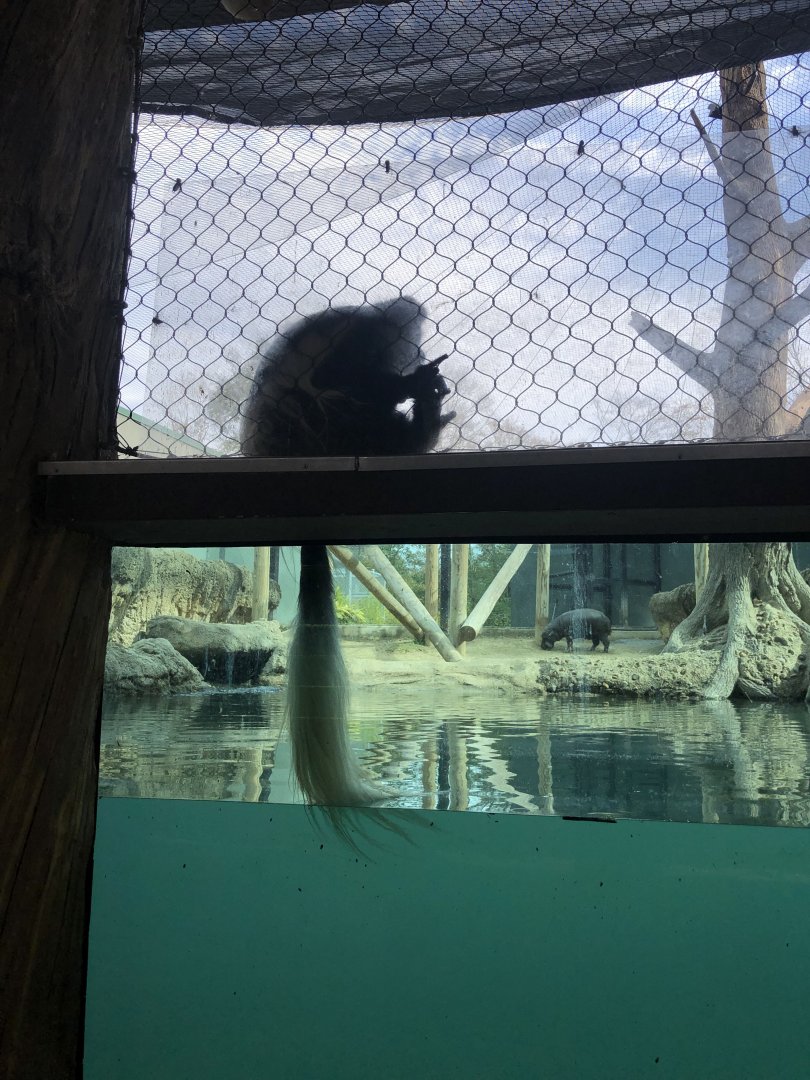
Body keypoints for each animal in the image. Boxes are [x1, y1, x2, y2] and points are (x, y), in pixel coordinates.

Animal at [241, 298, 455, 807]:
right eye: (410, 340)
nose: (416, 354)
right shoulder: (364, 338)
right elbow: (343, 374)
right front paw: (413, 383)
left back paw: (426, 422)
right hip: (319, 426)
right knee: (340, 397)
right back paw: (420, 423)